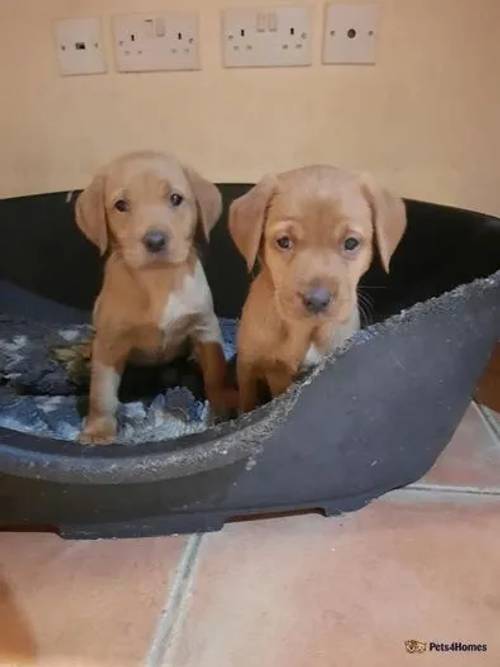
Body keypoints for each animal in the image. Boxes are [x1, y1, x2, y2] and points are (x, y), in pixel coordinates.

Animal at [76, 151, 236, 444]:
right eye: (121, 205)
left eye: (175, 198)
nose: (155, 240)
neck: (158, 281)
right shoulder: (110, 344)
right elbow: (102, 393)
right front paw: (98, 431)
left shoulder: (205, 326)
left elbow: (216, 373)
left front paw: (222, 408)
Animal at [230, 164, 406, 412]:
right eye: (284, 242)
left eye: (351, 243)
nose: (317, 300)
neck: (305, 330)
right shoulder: (248, 365)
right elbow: (246, 403)